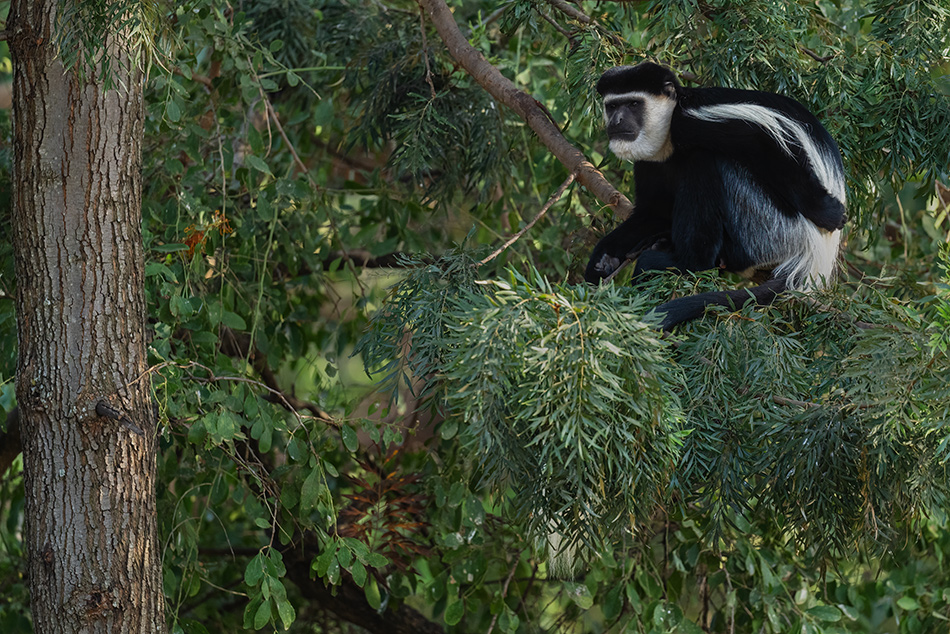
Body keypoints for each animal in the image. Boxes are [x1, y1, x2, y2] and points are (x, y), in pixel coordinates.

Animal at [588, 61, 848, 328]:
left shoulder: (694, 123)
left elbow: (764, 143)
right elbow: (653, 211)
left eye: (633, 104)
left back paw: (688, 263)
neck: (668, 136)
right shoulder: (649, 161)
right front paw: (603, 258)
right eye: (612, 106)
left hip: (771, 227)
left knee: (704, 159)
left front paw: (829, 212)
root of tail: (816, 253)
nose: (616, 121)